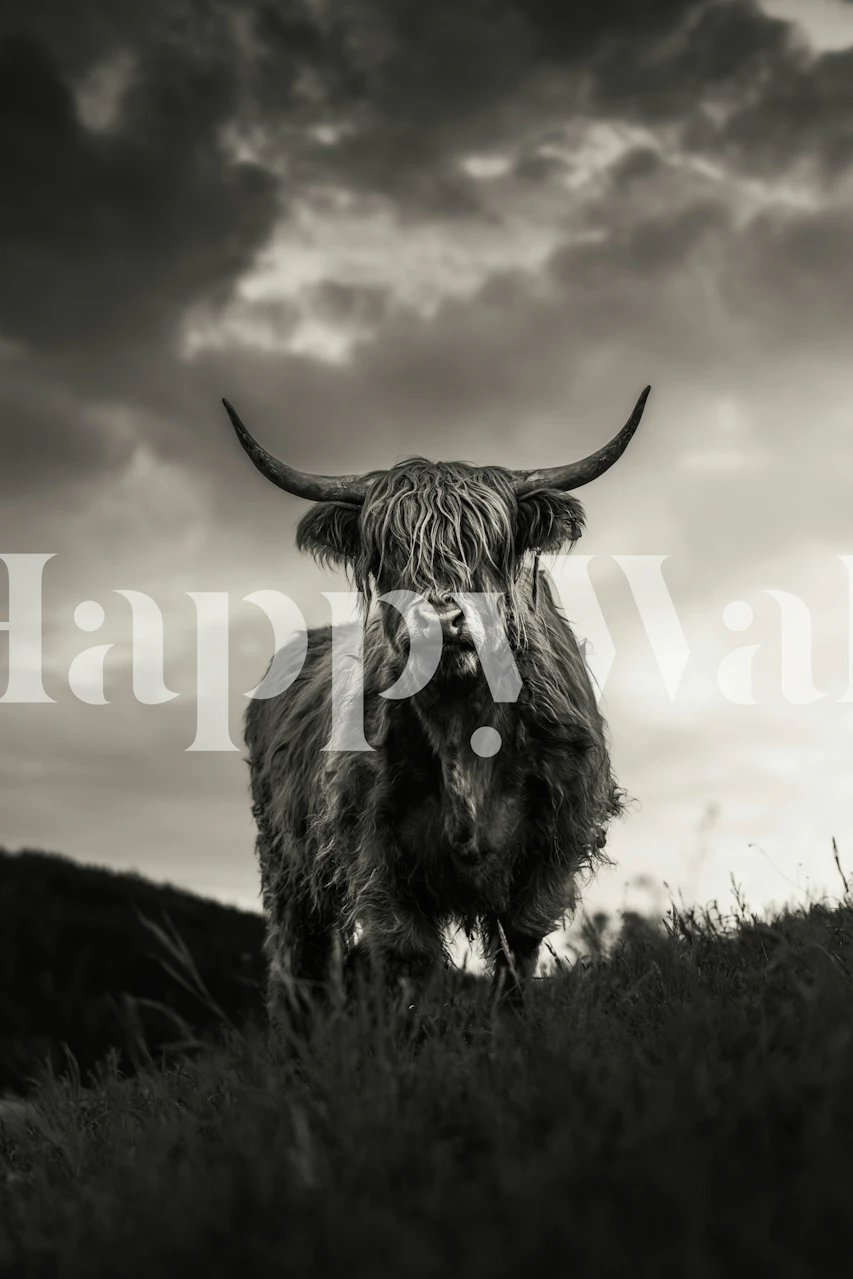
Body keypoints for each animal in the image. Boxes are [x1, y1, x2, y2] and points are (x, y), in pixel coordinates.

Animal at [223, 386, 650, 1019]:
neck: (464, 727)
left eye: (489, 546)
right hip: (285, 864)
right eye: (387, 554)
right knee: (299, 961)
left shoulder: (551, 850)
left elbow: (517, 955)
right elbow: (409, 965)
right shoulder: (376, 857)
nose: (441, 620)